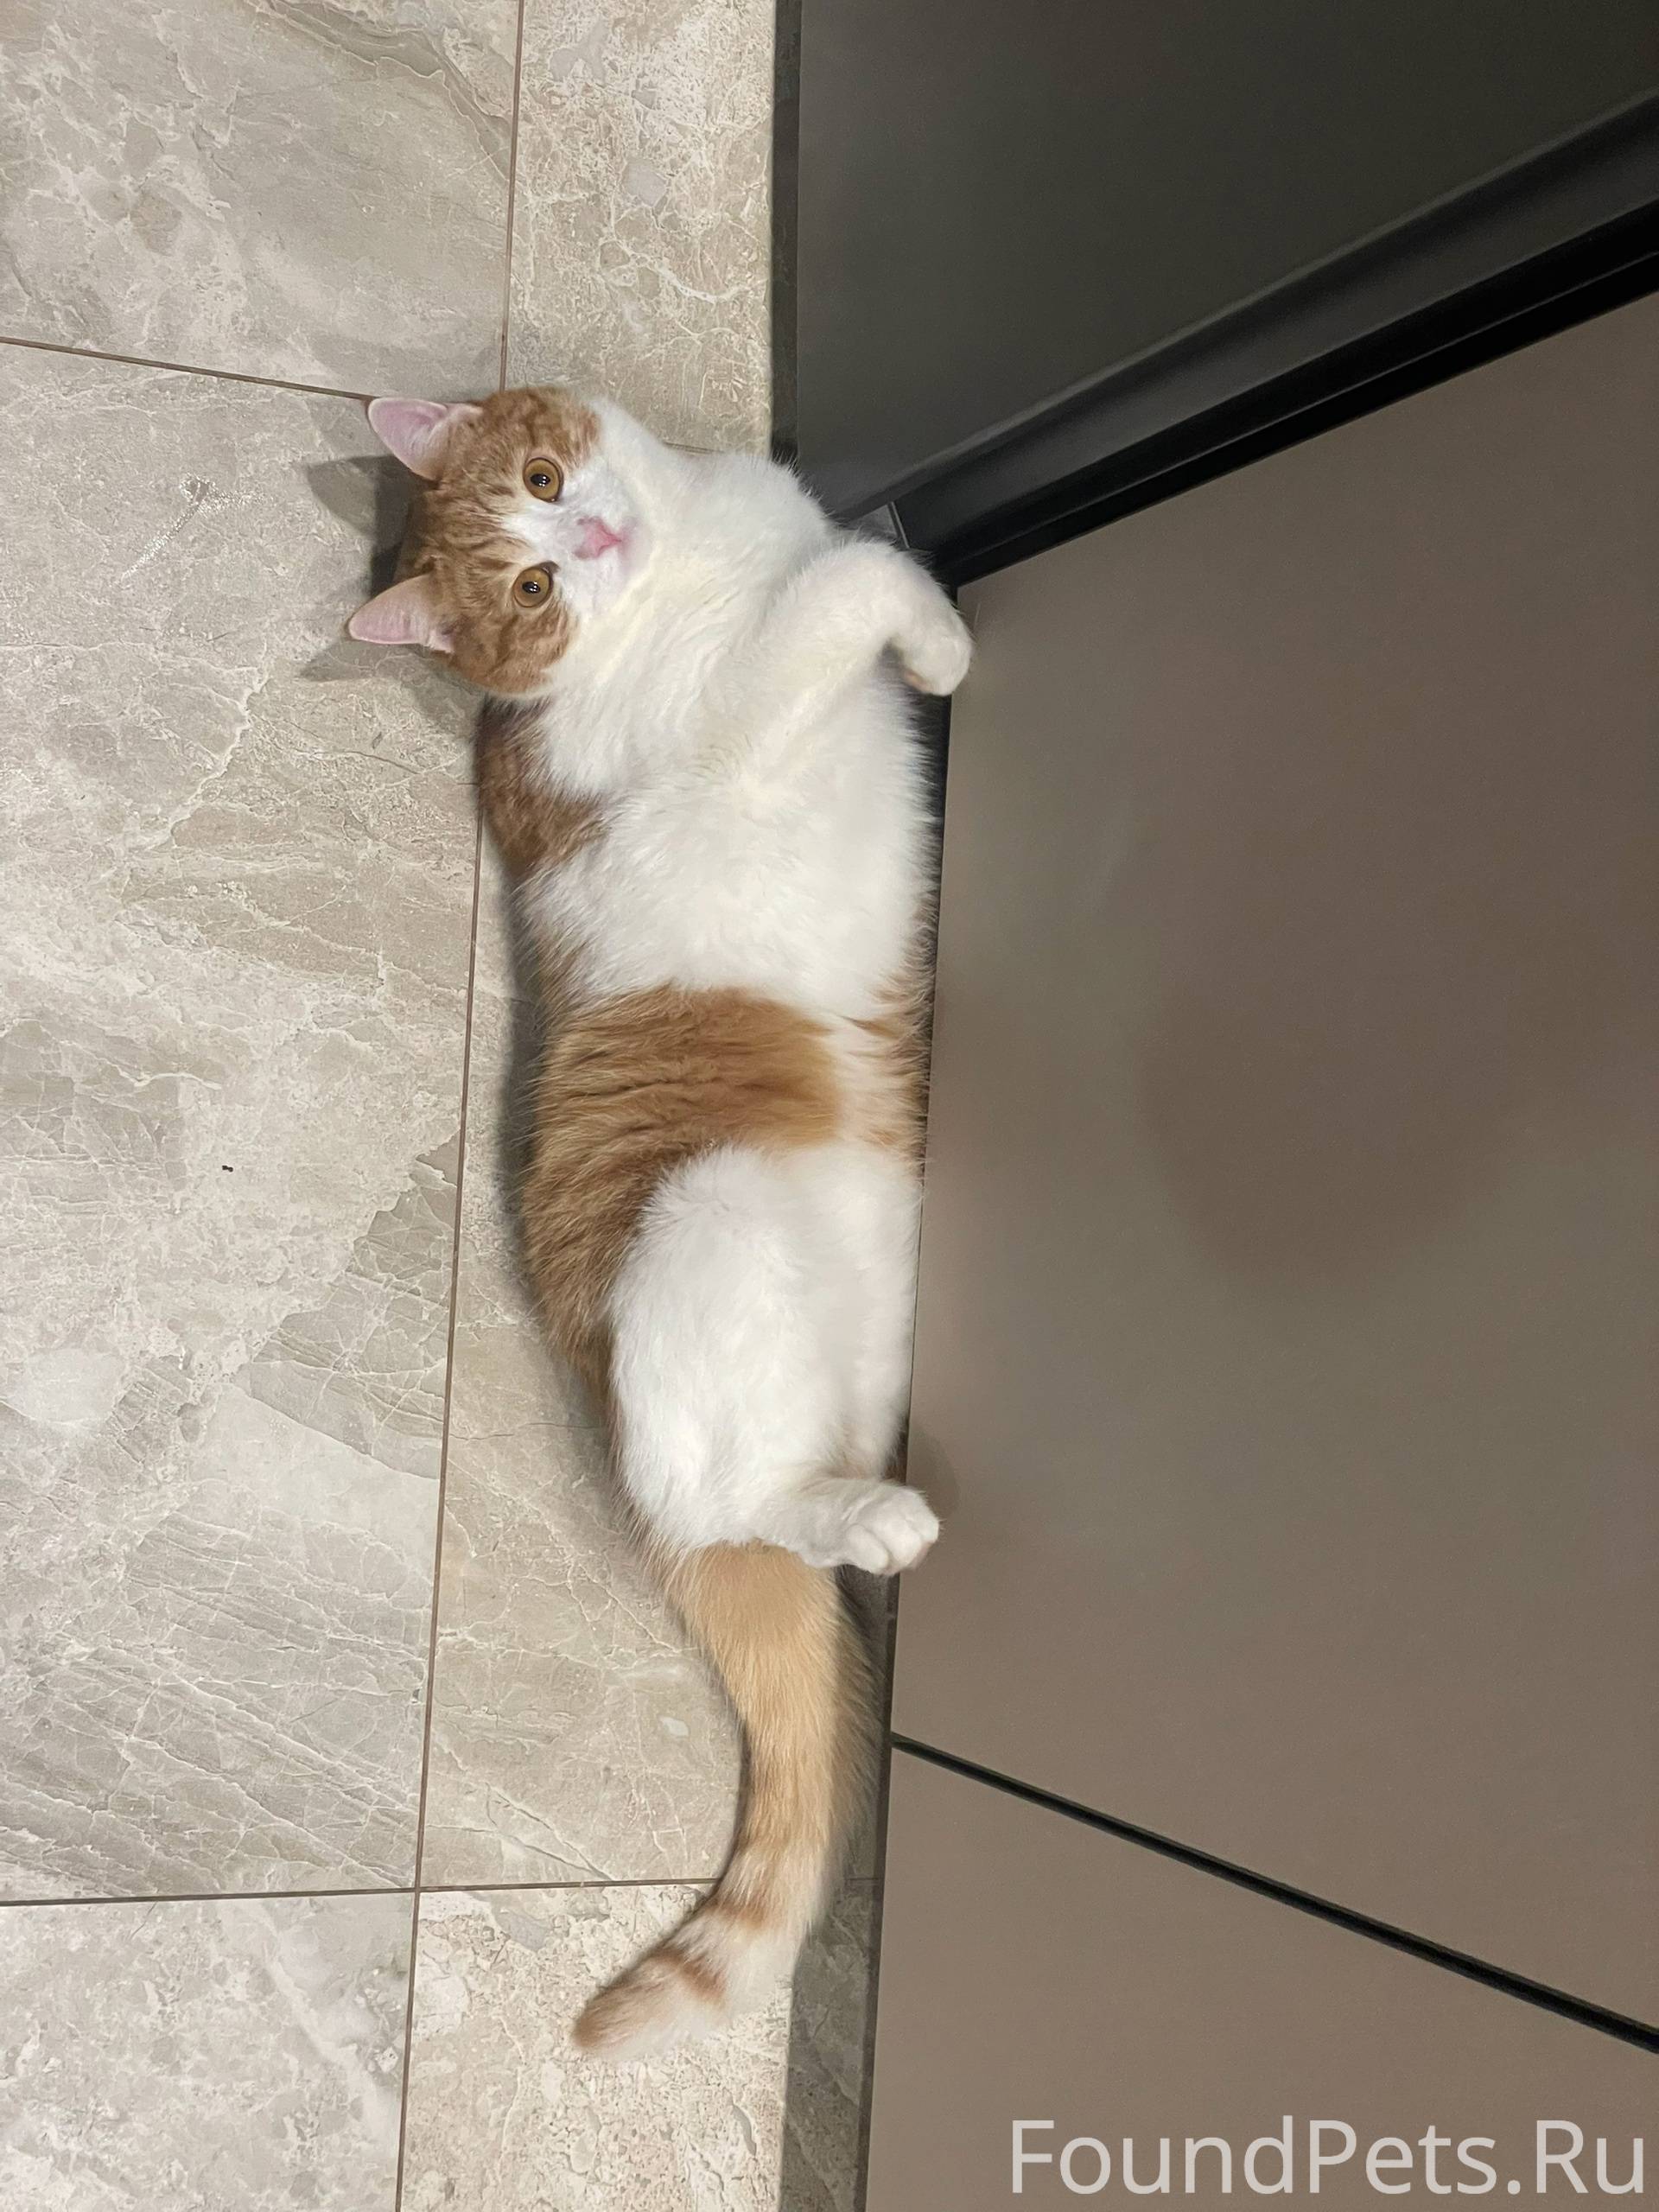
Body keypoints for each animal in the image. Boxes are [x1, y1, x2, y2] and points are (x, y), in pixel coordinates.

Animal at [349, 387, 971, 2058]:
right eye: (532, 587)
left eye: (546, 477)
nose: (592, 534)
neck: (697, 547)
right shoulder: (749, 703)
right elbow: (849, 585)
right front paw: (940, 641)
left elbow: (845, 553)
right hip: (710, 1222)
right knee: (734, 1498)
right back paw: (874, 1525)